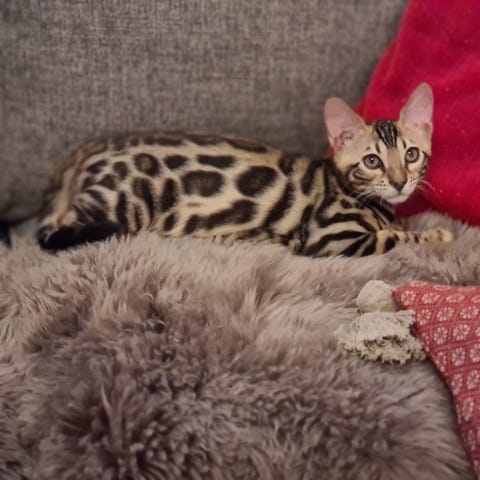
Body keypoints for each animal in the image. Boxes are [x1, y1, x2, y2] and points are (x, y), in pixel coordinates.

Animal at [37, 82, 452, 257]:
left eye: (411, 155)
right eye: (372, 161)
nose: (399, 182)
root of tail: (86, 151)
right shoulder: (332, 237)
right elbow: (395, 237)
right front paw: (436, 235)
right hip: (124, 204)